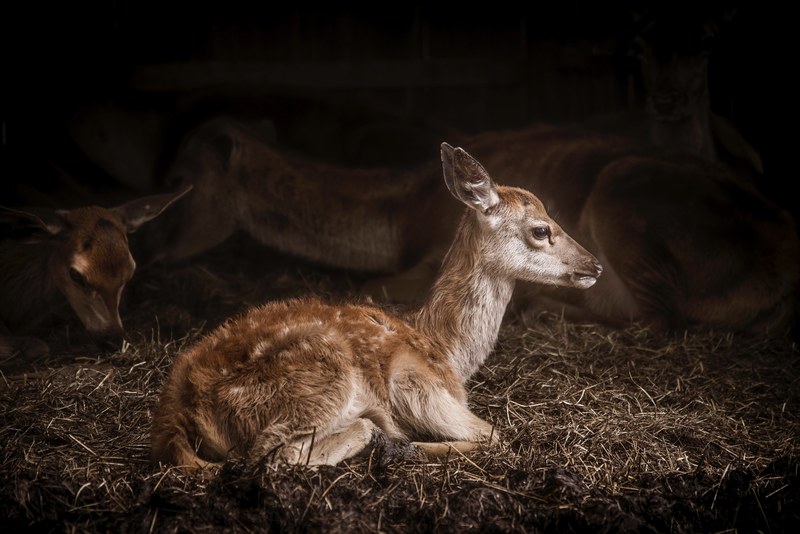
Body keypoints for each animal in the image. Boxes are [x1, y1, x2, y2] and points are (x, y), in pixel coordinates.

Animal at [149, 142, 602, 468]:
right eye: (541, 229)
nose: (594, 265)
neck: (446, 350)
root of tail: (176, 410)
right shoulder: (416, 383)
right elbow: (493, 435)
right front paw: (406, 445)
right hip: (321, 381)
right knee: (274, 454)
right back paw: (382, 439)